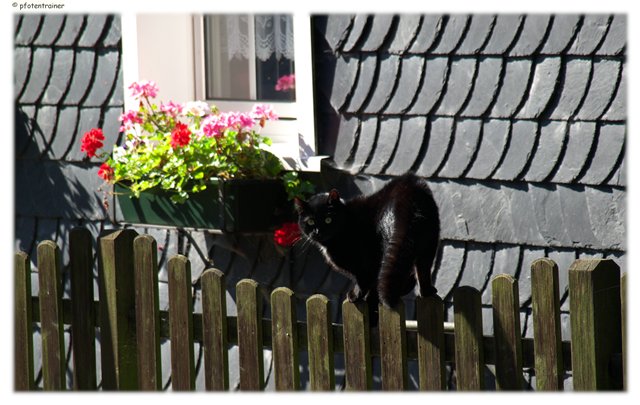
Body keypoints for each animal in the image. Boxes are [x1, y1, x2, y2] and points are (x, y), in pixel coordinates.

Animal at [296, 173, 440, 310]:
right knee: (423, 269)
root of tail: (407, 192)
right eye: (310, 221)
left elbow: (363, 280)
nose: (318, 232)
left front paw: (355, 296)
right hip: (429, 241)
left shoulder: (364, 263)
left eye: (328, 219)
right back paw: (427, 292)